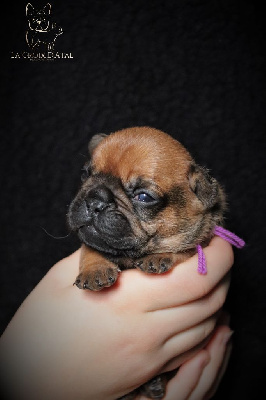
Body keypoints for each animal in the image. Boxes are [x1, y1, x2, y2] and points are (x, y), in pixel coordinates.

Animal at [67, 126, 225, 398]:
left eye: (143, 196)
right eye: (85, 173)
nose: (94, 200)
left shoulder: (200, 241)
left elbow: (183, 249)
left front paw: (159, 256)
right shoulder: (93, 240)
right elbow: (91, 247)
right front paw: (95, 270)